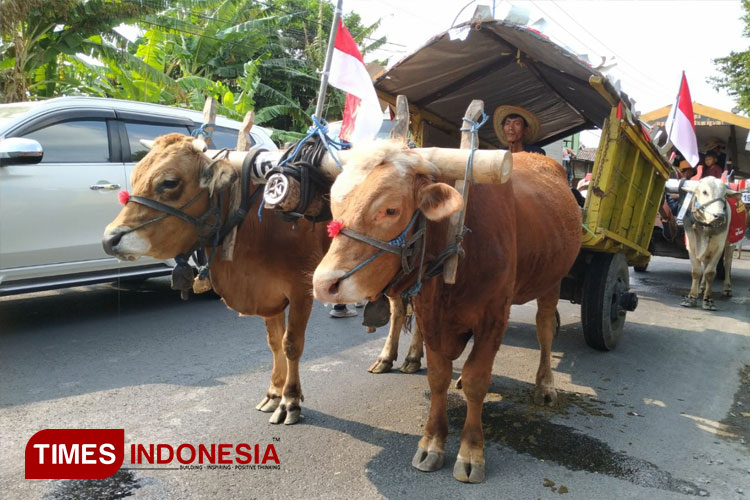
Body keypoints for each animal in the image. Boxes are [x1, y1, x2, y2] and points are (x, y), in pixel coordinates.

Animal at [312, 139, 580, 482]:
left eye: (390, 209)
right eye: (334, 205)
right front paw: (432, 443)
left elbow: (479, 378)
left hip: (552, 281)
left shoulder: (494, 315)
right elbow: (438, 376)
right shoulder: (430, 315)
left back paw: (545, 385)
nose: (324, 284)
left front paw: (471, 452)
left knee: (545, 329)